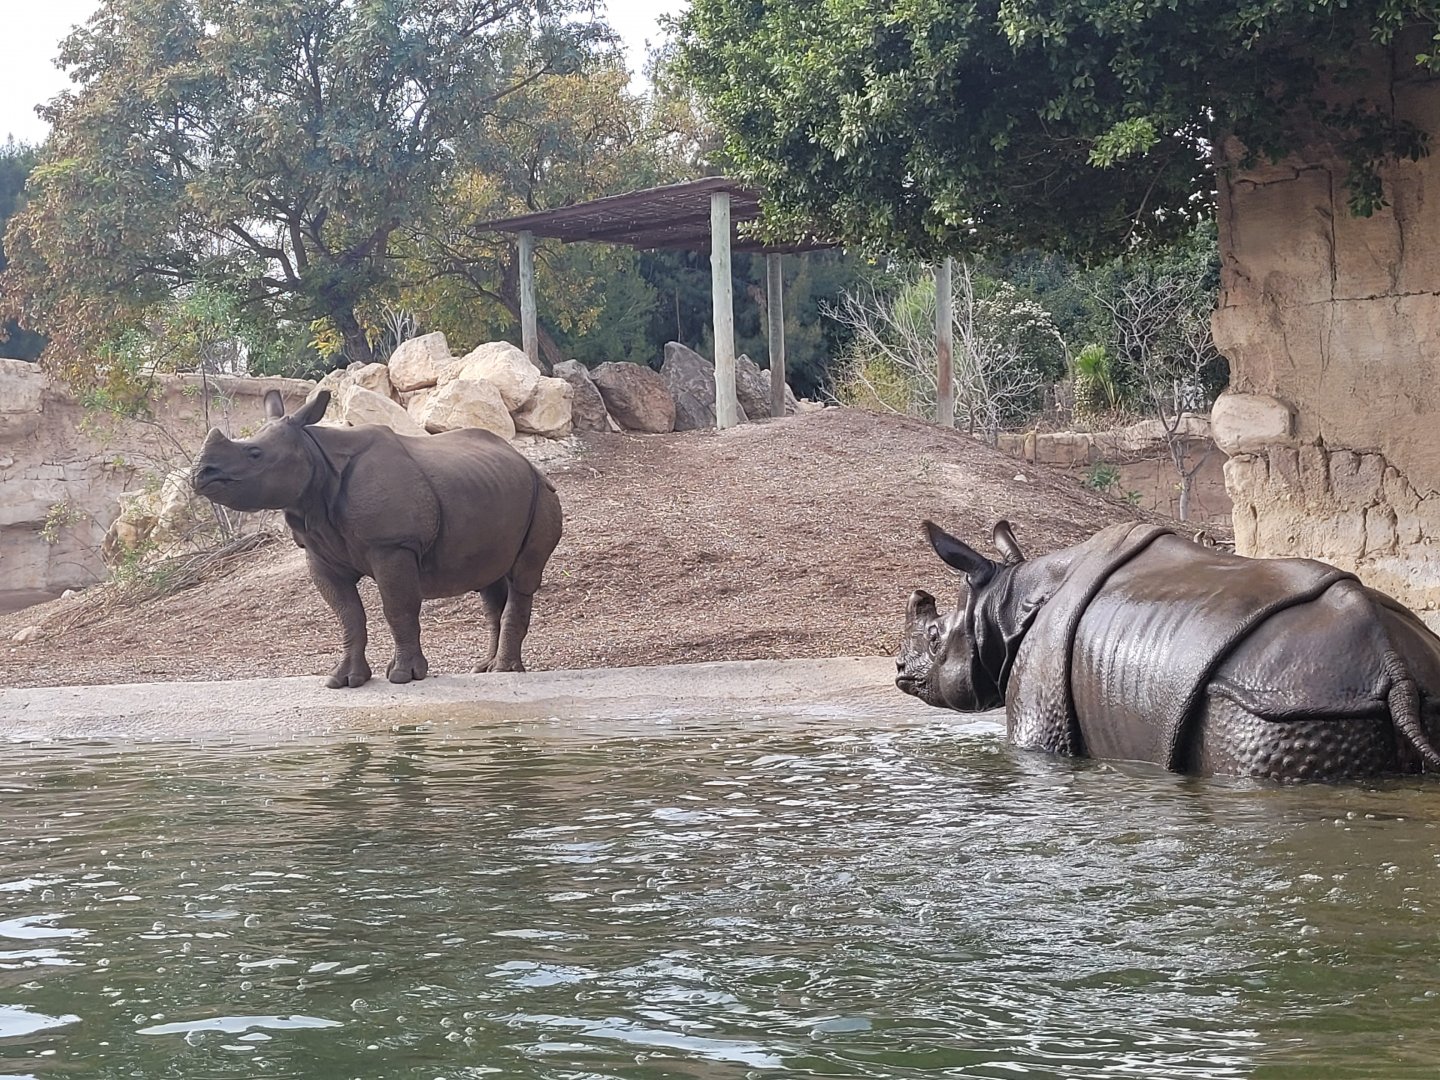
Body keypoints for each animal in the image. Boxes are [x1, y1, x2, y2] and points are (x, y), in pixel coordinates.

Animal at [191, 389, 562, 688]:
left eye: (254, 453)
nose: (200, 473)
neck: (316, 457)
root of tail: (528, 462)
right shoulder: (319, 554)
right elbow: (348, 614)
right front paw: (345, 680)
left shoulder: (392, 545)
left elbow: (397, 607)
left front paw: (403, 676)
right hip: (494, 489)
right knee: (489, 583)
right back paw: (485, 668)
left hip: (543, 494)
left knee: (523, 577)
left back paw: (505, 671)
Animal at [896, 519, 1440, 781]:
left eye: (935, 637)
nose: (899, 668)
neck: (1005, 603)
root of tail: (1391, 662)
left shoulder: (1038, 706)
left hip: (1279, 703)